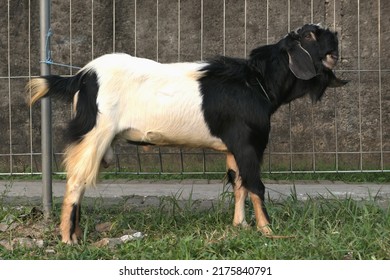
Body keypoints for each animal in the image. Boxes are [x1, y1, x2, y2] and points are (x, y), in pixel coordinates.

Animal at [27, 23, 346, 243]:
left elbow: (238, 183)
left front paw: (240, 225)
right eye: (310, 35)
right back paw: (69, 239)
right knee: (76, 181)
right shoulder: (249, 143)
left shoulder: (232, 147)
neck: (257, 82)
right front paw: (267, 230)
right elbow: (255, 185)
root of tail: (82, 77)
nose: (336, 32)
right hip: (94, 134)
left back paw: (76, 234)